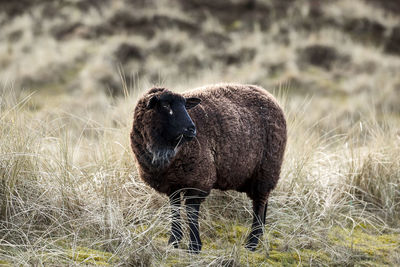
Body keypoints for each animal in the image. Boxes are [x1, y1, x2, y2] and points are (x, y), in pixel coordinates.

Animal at [131, 83, 288, 253]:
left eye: (185, 105)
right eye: (165, 105)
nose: (192, 129)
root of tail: (267, 94)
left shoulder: (199, 180)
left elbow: (191, 212)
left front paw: (194, 246)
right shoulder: (172, 183)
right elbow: (175, 209)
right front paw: (173, 242)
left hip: (266, 168)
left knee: (259, 203)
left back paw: (252, 243)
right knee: (264, 203)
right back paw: (259, 236)